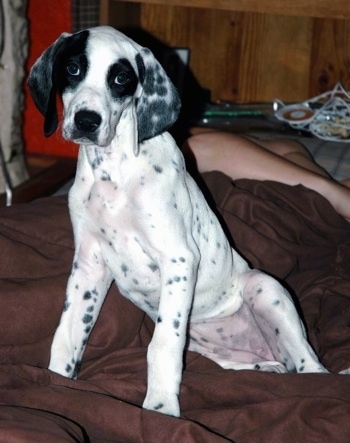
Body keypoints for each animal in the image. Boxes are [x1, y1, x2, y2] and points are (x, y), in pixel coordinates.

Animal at [28, 26, 334, 416]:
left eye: (121, 78)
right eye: (72, 68)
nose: (86, 121)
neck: (113, 173)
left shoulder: (178, 259)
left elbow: (161, 346)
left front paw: (160, 409)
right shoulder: (88, 265)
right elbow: (68, 334)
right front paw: (57, 383)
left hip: (264, 288)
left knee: (313, 369)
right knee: (273, 366)